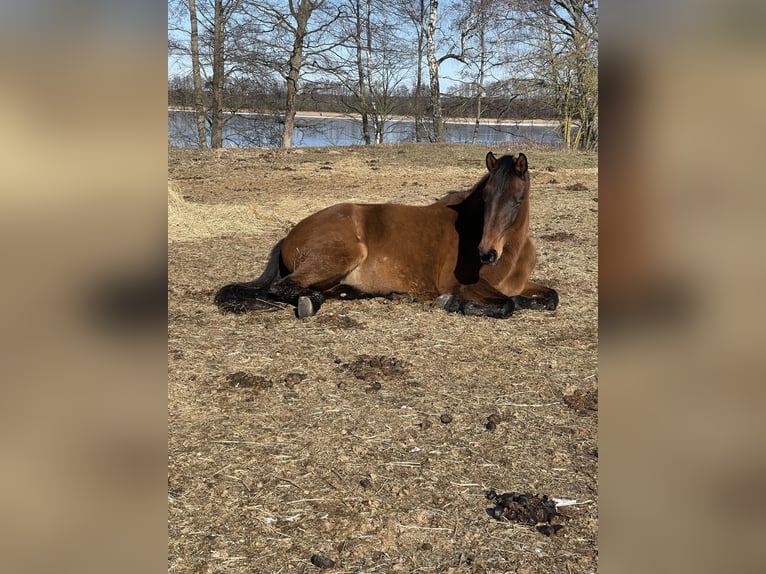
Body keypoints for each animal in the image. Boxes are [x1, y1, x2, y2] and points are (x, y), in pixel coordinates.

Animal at [214, 151, 558, 319]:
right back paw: (310, 302)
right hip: (344, 254)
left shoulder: (521, 284)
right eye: (486, 198)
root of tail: (290, 234)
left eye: (517, 199)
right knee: (286, 287)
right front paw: (452, 304)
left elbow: (549, 297)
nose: (486, 253)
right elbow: (506, 304)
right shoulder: (461, 283)